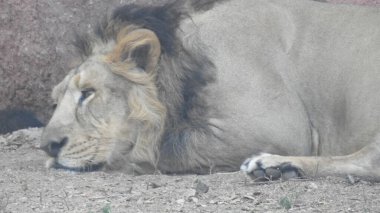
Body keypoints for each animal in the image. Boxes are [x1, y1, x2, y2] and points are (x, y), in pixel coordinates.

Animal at [40, 0, 380, 180]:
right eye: (55, 101)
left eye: (88, 92)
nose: (47, 147)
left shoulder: (280, 128)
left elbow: (159, 149)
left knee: (370, 160)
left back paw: (273, 165)